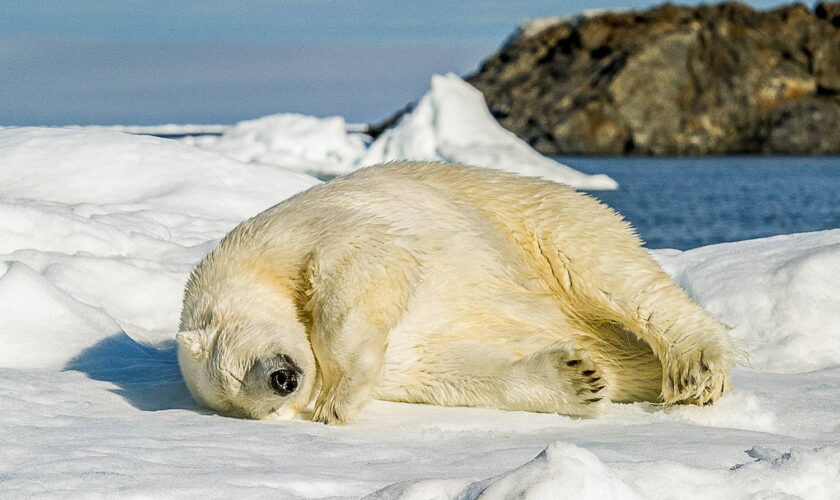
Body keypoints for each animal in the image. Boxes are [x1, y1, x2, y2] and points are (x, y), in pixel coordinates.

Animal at [177, 162, 736, 424]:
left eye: (239, 363)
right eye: (248, 400)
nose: (283, 380)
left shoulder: (290, 235)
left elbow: (371, 258)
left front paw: (336, 401)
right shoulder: (407, 365)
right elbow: (453, 368)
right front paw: (580, 378)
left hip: (531, 218)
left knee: (608, 271)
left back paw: (695, 367)